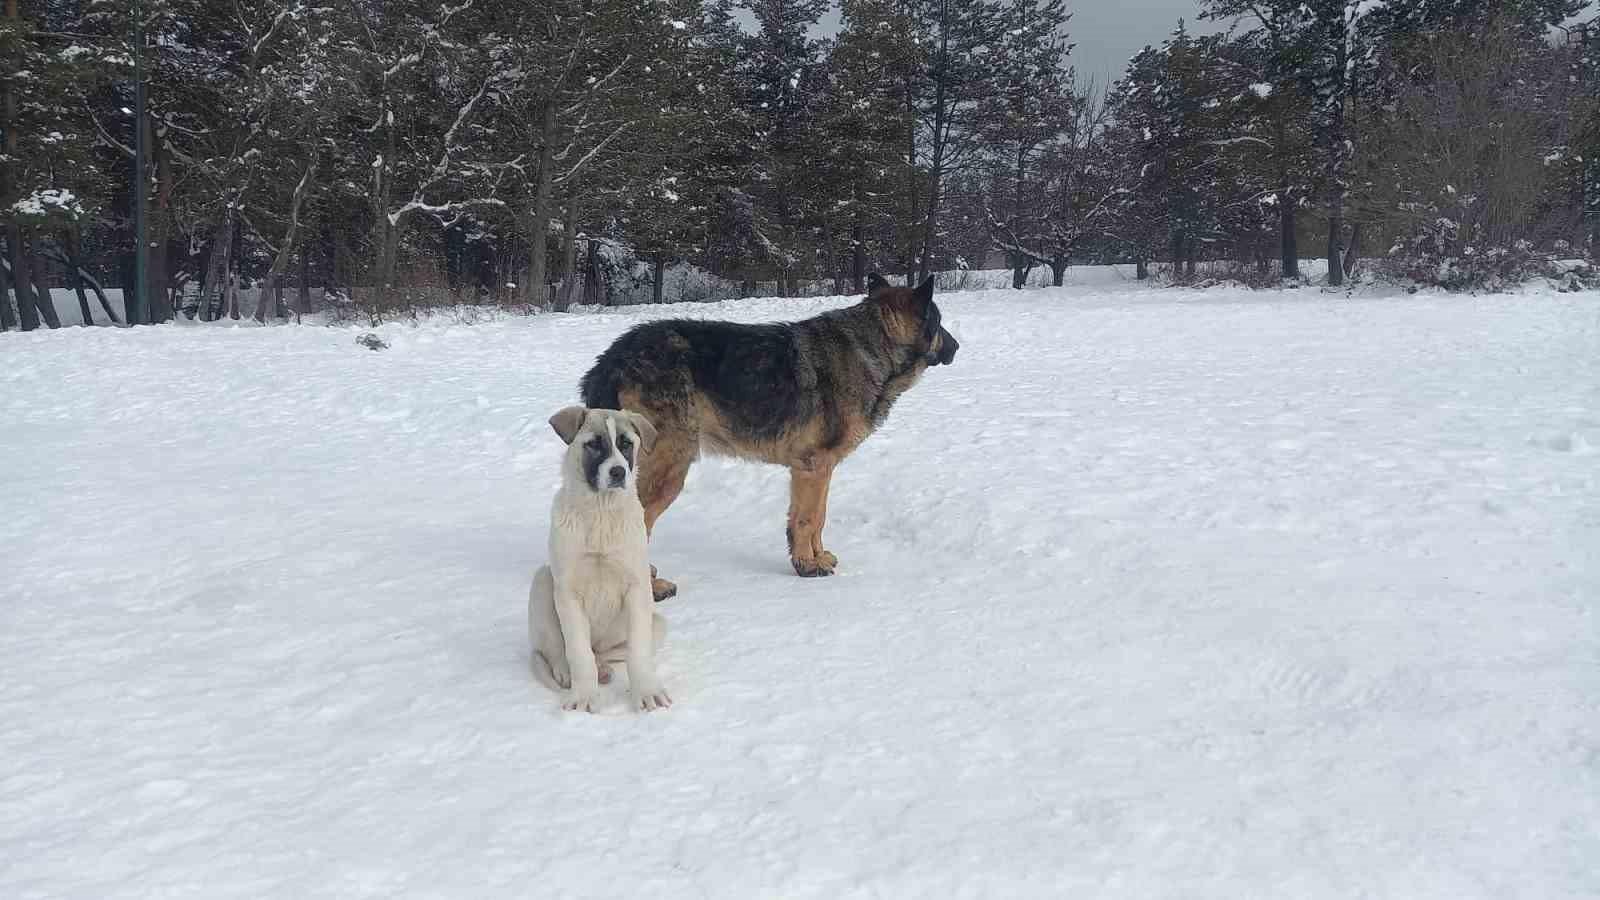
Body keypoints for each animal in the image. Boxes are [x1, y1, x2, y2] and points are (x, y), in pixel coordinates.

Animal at [531, 405, 668, 707]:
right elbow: (578, 652)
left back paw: (604, 669)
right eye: (594, 444)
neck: (601, 511)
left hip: (657, 624)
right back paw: (566, 673)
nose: (618, 472)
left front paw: (647, 692)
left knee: (609, 654)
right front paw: (583, 697)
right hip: (543, 581)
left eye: (626, 444)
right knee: (558, 650)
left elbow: (638, 651)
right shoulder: (568, 593)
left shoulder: (638, 588)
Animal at [582, 269, 953, 598]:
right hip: (670, 468)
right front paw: (807, 565)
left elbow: (817, 517)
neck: (872, 346)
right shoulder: (813, 467)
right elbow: (807, 519)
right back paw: (650, 586)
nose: (958, 347)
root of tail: (612, 357)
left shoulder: (818, 470)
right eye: (938, 323)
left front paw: (817, 557)